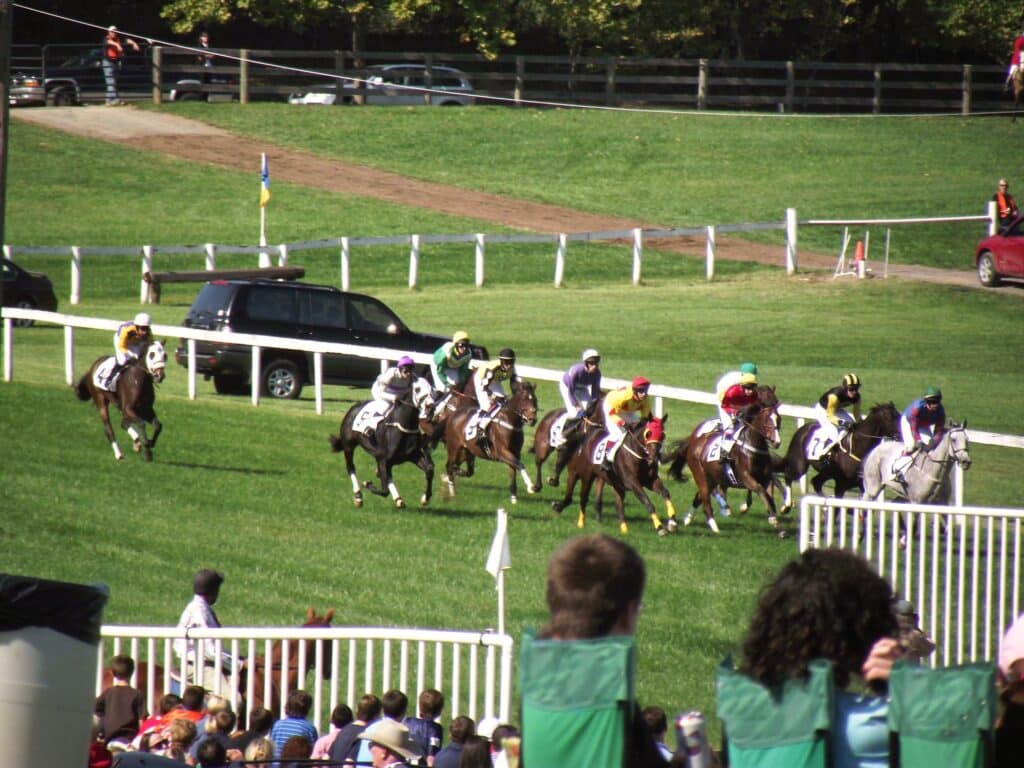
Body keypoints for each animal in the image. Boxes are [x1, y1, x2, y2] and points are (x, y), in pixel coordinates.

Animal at [331, 380, 436, 512]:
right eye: (417, 389)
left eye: (432, 389)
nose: (431, 406)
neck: (403, 425)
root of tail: (353, 408)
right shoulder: (384, 459)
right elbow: (384, 490)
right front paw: (367, 483)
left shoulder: (412, 456)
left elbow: (429, 469)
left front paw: (425, 498)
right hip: (348, 446)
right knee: (350, 467)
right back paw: (358, 497)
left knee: (387, 475)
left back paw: (398, 500)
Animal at [684, 403, 778, 536]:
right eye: (767, 421)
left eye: (779, 419)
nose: (777, 442)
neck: (753, 448)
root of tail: (696, 441)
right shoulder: (746, 477)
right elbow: (760, 490)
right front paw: (773, 519)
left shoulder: (766, 478)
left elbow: (769, 495)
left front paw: (775, 520)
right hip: (700, 473)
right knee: (705, 500)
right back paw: (715, 527)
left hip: (712, 478)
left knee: (700, 496)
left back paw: (688, 518)